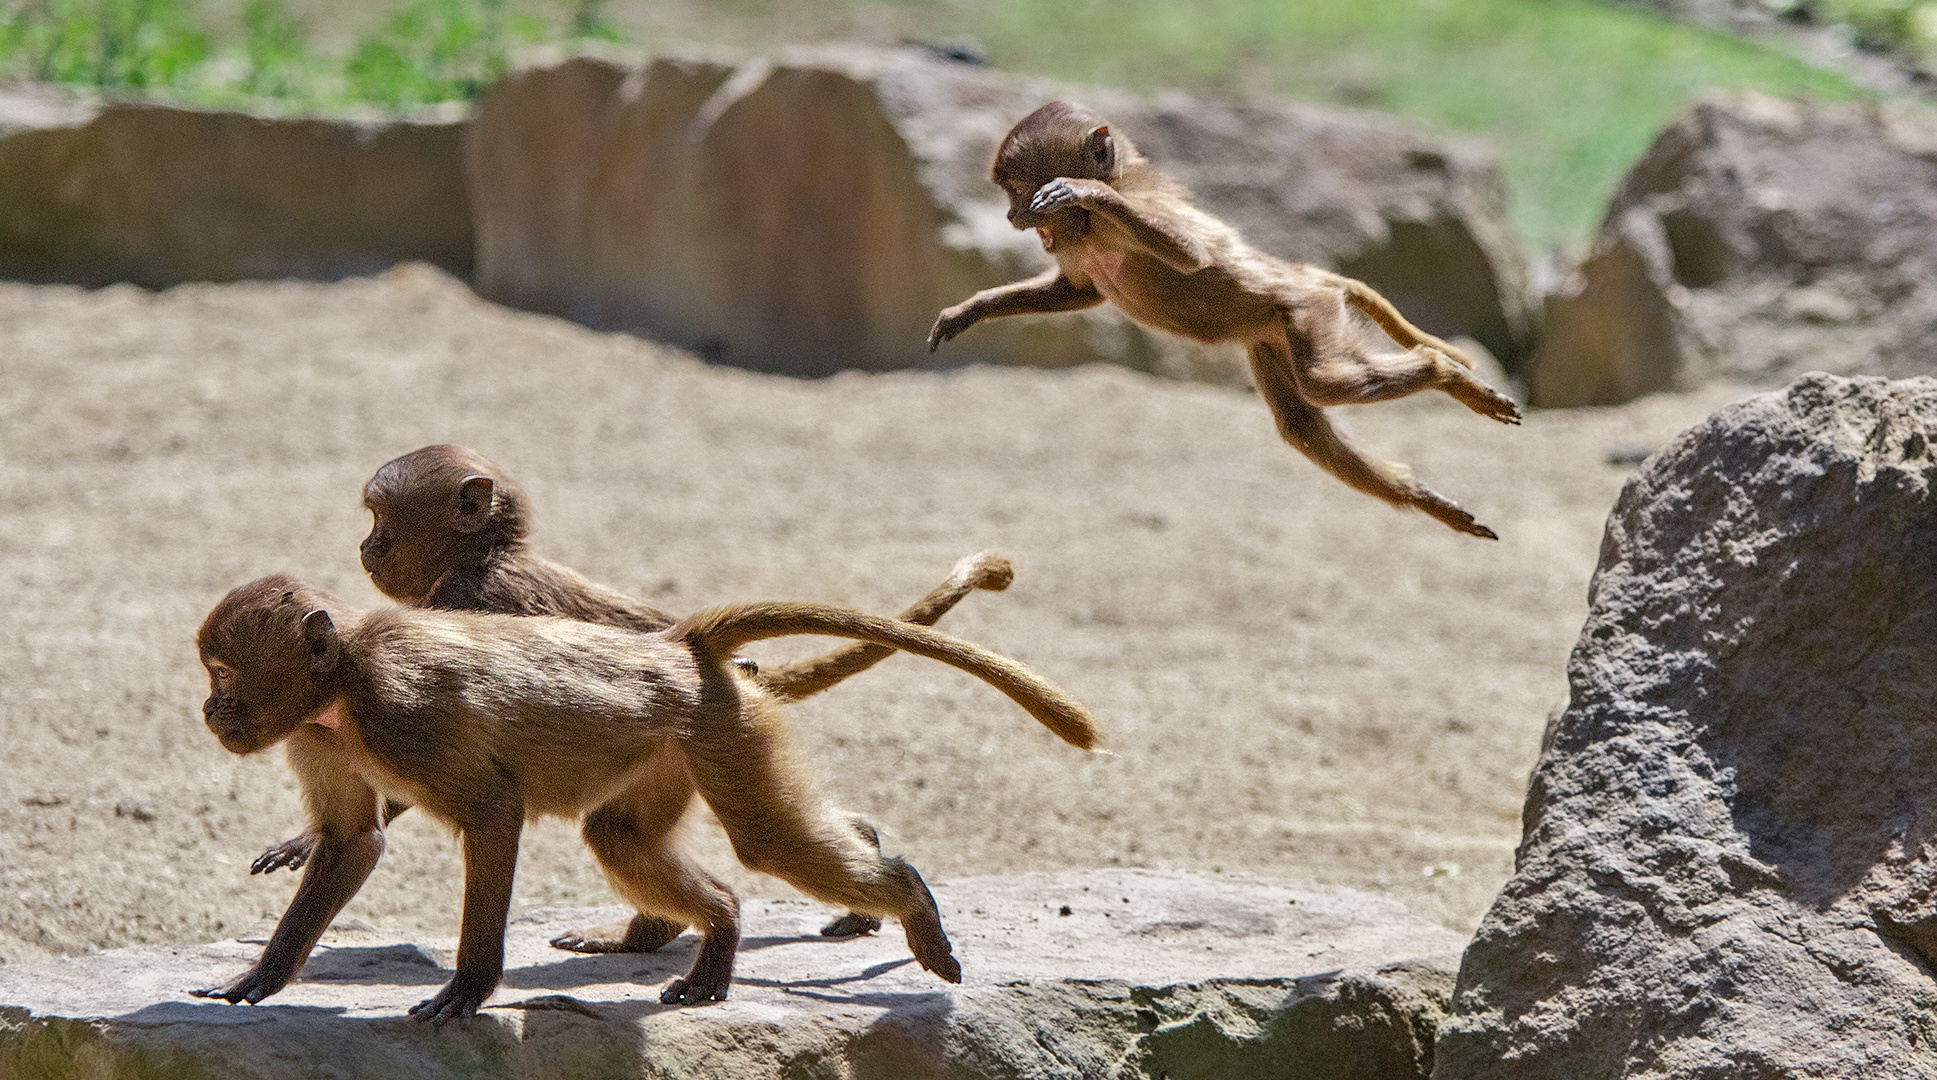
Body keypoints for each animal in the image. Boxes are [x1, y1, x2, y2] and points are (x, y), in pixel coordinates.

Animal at [196, 576, 1107, 1021]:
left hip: (718, 727)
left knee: (762, 841)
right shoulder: (315, 733)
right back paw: (722, 931)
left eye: (224, 672)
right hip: (673, 744)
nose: (210, 711)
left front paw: (469, 990)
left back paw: (909, 899)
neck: (343, 683)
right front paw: (261, 979)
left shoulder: (401, 715)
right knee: (624, 838)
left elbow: (492, 813)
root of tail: (674, 648)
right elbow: (353, 843)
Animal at [245, 449, 1014, 956]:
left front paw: (310, 839)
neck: (485, 559)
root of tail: (704, 656)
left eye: (381, 519)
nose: (366, 545)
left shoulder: (466, 603)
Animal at [929, 101, 1518, 541]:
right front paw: (969, 311)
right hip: (1273, 338)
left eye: (1018, 192)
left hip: (1306, 310)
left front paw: (1087, 190)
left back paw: (1443, 372)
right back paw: (1424, 497)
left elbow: (1190, 254)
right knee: (1302, 422)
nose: (1013, 216)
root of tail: (1305, 275)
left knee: (1325, 383)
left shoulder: (1134, 208)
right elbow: (1079, 292)